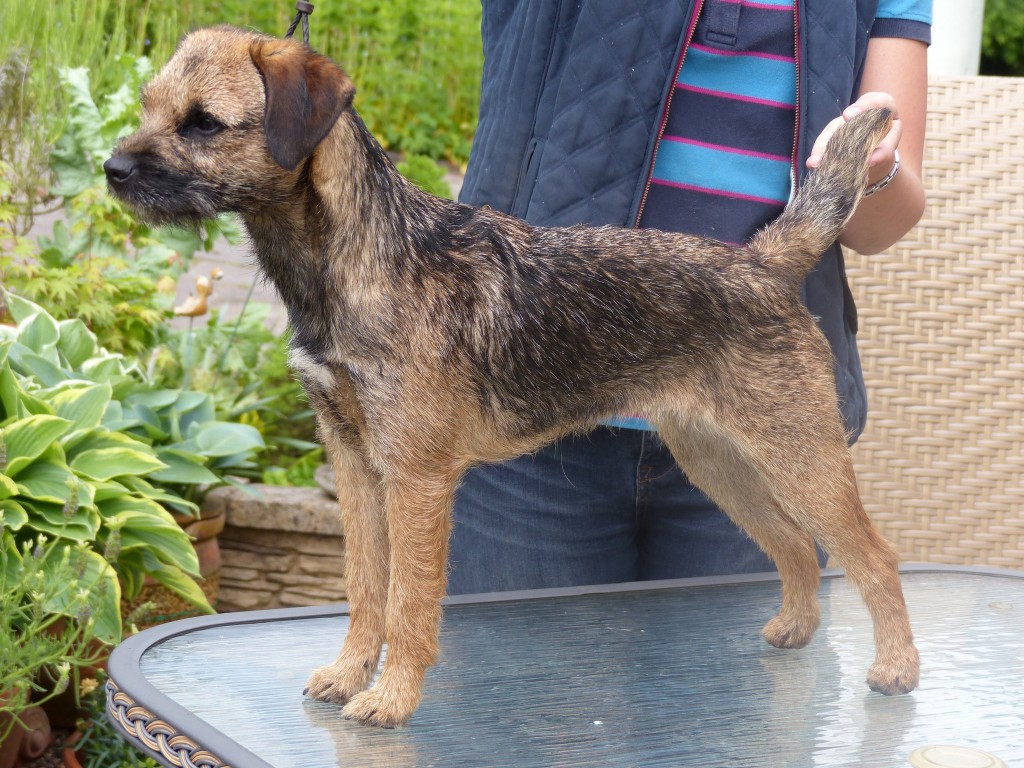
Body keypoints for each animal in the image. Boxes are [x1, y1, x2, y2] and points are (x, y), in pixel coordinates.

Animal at [105, 26, 920, 728]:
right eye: (148, 107)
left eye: (204, 124)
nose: (113, 170)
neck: (353, 260)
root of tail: (762, 260)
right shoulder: (355, 464)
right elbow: (365, 587)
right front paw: (347, 674)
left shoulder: (416, 479)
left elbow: (409, 602)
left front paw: (392, 699)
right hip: (718, 459)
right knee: (794, 546)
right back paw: (795, 629)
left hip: (798, 453)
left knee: (874, 557)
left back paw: (898, 667)